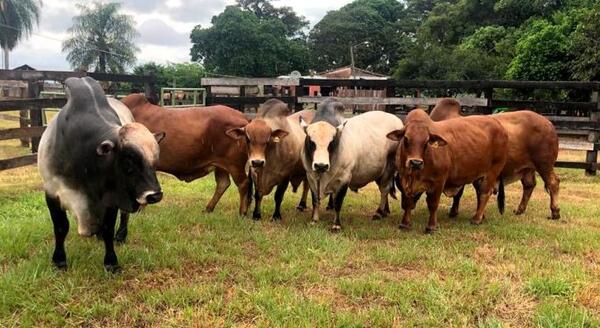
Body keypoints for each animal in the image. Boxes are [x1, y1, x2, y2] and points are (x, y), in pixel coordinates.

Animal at [428, 98, 560, 220]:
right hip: (528, 168)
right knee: (529, 185)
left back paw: (555, 212)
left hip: (544, 164)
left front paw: (459, 213)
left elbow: (462, 193)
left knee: (553, 182)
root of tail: (548, 123)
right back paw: (520, 209)